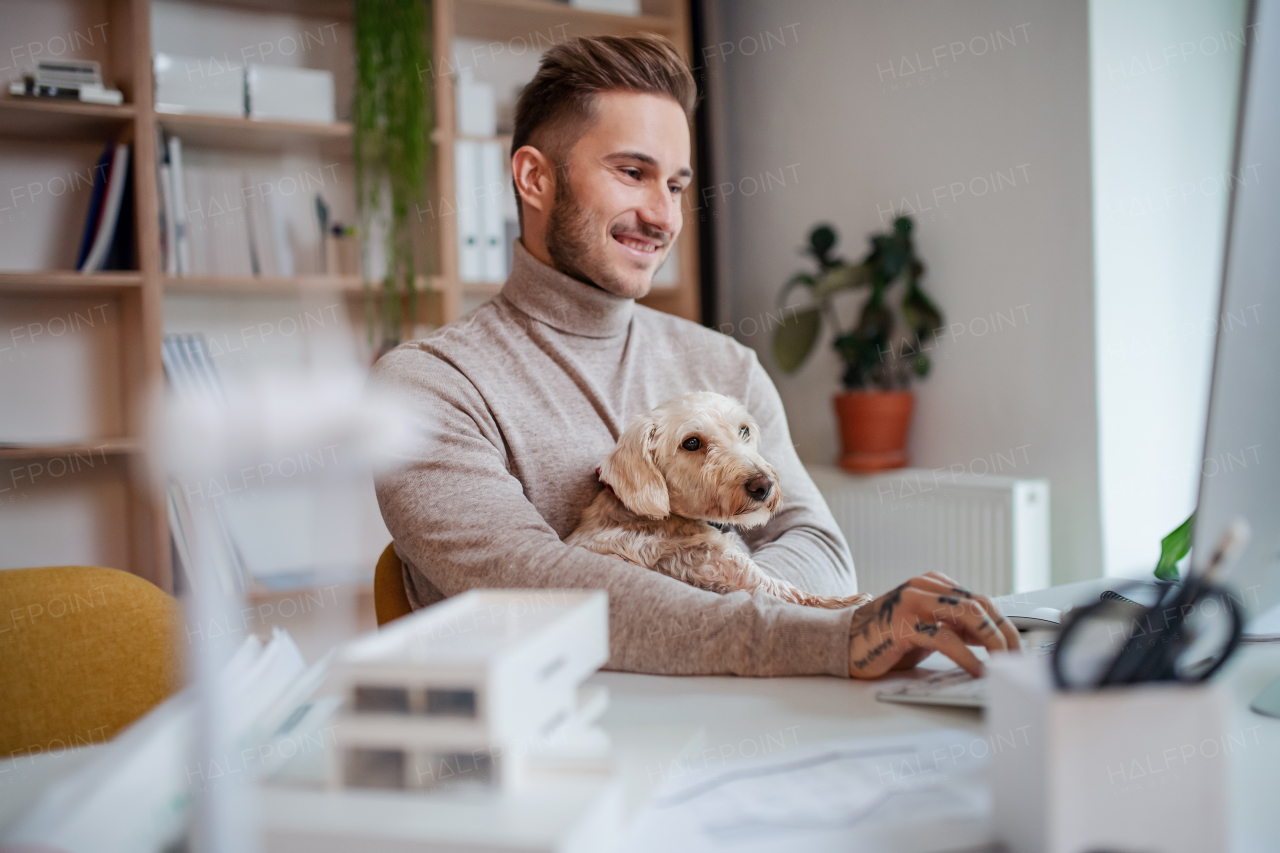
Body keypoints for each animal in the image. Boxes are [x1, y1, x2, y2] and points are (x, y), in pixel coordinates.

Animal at [568, 389, 870, 607]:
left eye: (743, 430)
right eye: (691, 442)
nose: (764, 485)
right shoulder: (732, 567)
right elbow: (792, 592)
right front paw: (850, 602)